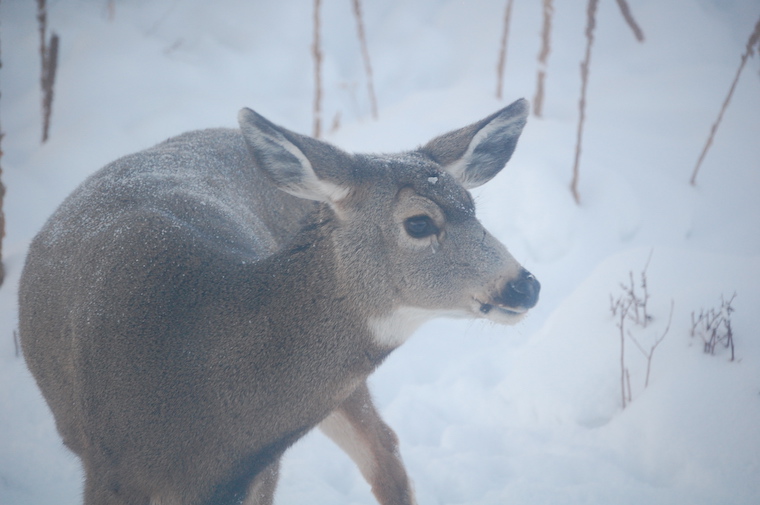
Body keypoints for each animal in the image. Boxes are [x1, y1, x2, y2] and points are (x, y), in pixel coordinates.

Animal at [18, 98, 539, 505]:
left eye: (473, 209)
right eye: (418, 222)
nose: (525, 285)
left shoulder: (261, 471)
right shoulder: (107, 470)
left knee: (384, 451)